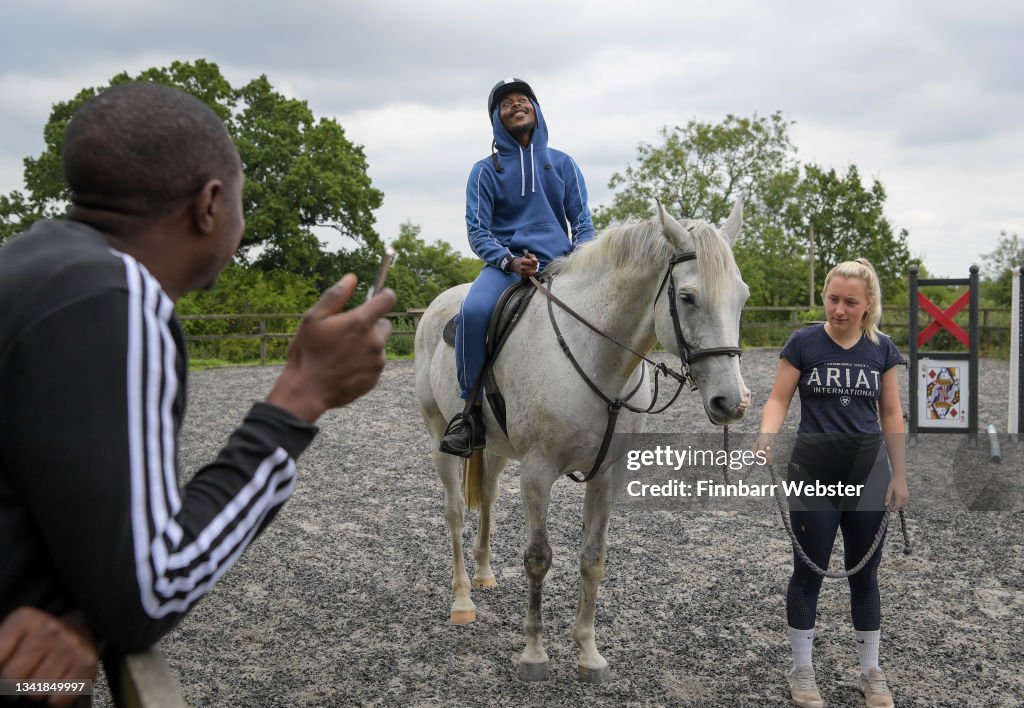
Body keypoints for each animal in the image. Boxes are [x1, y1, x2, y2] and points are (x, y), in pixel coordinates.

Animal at [411, 201, 749, 684]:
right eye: (687, 297)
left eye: (741, 297)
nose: (731, 402)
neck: (593, 356)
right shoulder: (537, 473)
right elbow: (538, 557)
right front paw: (534, 654)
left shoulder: (607, 474)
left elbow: (593, 558)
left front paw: (589, 654)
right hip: (439, 432)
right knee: (455, 511)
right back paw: (462, 601)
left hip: (494, 450)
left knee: (488, 500)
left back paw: (485, 574)